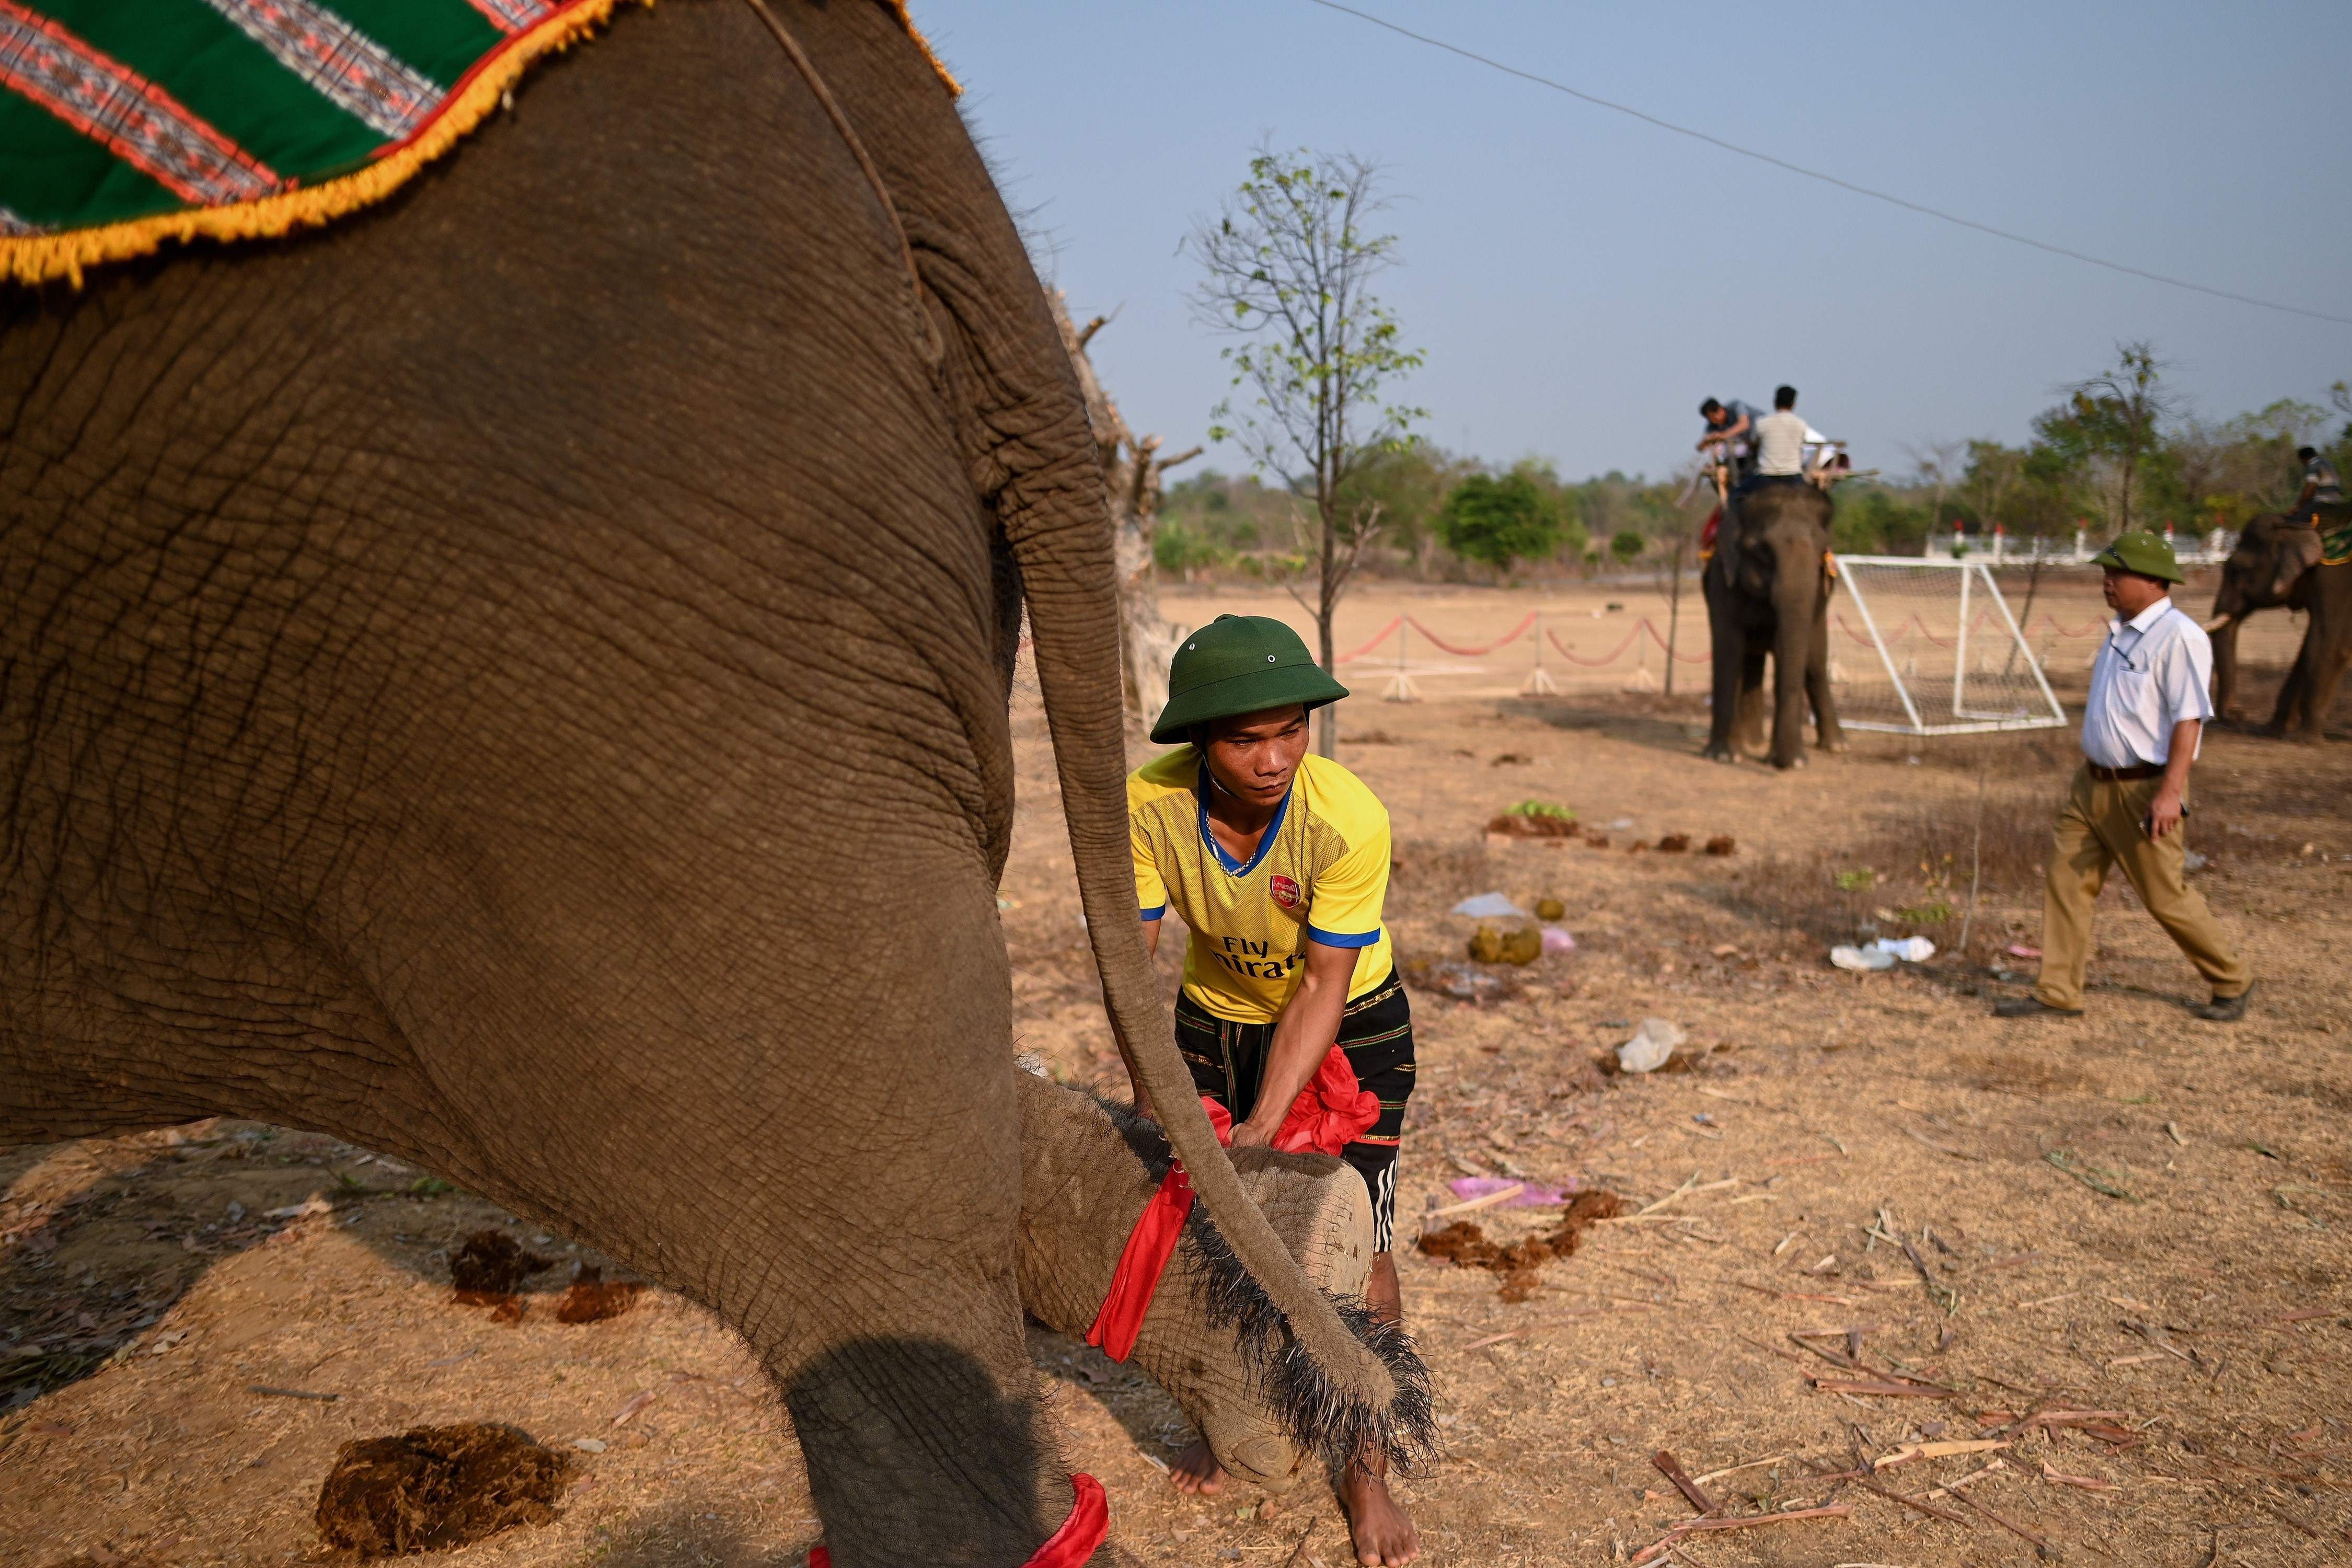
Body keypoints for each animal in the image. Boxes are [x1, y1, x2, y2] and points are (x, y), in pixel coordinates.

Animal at [1703, 482, 1844, 771]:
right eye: (1764, 550)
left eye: (1822, 548)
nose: (1790, 764)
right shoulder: (1722, 578)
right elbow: (1728, 650)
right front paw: (1723, 756)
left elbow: (1785, 651)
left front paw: (1790, 760)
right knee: (1748, 661)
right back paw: (1750, 744)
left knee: (1815, 664)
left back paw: (1835, 746)